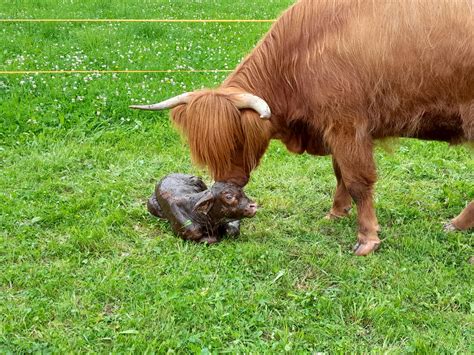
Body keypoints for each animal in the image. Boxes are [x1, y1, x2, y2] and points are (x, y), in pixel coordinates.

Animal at [132, 0, 474, 256]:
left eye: (236, 140)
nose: (225, 186)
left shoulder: (347, 125)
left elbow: (357, 181)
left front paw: (367, 239)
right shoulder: (335, 130)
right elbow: (340, 174)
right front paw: (336, 213)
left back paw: (456, 223)